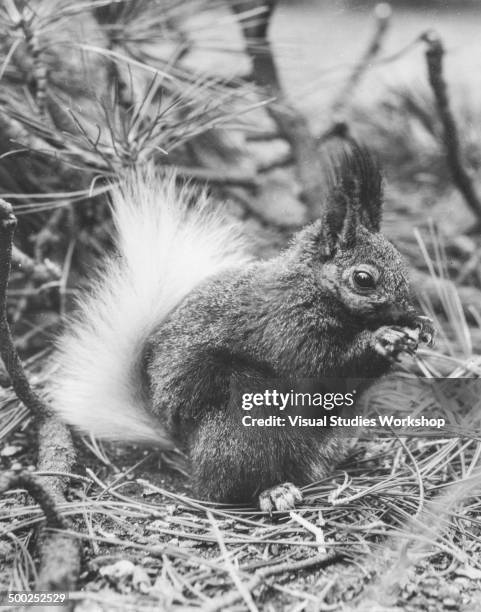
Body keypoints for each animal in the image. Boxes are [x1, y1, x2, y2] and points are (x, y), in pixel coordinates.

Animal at [51, 143, 432, 512]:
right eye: (363, 279)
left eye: (401, 263)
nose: (407, 312)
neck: (312, 287)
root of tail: (188, 448)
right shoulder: (284, 329)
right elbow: (322, 369)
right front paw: (382, 339)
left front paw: (421, 327)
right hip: (244, 422)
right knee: (223, 489)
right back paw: (272, 492)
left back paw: (353, 453)